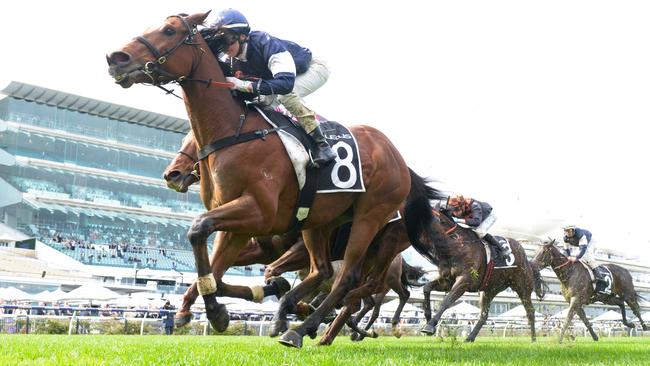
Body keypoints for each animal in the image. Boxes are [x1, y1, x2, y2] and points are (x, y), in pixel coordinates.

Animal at [107, 12, 430, 348]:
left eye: (169, 31)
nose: (116, 59)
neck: (234, 131)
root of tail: (399, 159)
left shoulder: (258, 212)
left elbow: (198, 230)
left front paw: (219, 307)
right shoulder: (238, 222)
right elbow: (214, 267)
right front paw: (213, 309)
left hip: (371, 221)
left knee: (350, 280)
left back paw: (305, 328)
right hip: (320, 221)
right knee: (324, 271)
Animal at [418, 209, 544, 344]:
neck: (456, 245)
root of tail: (527, 260)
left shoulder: (464, 281)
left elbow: (446, 301)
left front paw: (430, 325)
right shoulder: (447, 281)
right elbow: (426, 288)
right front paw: (428, 318)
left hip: (522, 287)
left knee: (530, 311)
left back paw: (534, 340)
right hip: (489, 290)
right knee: (484, 315)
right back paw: (469, 337)